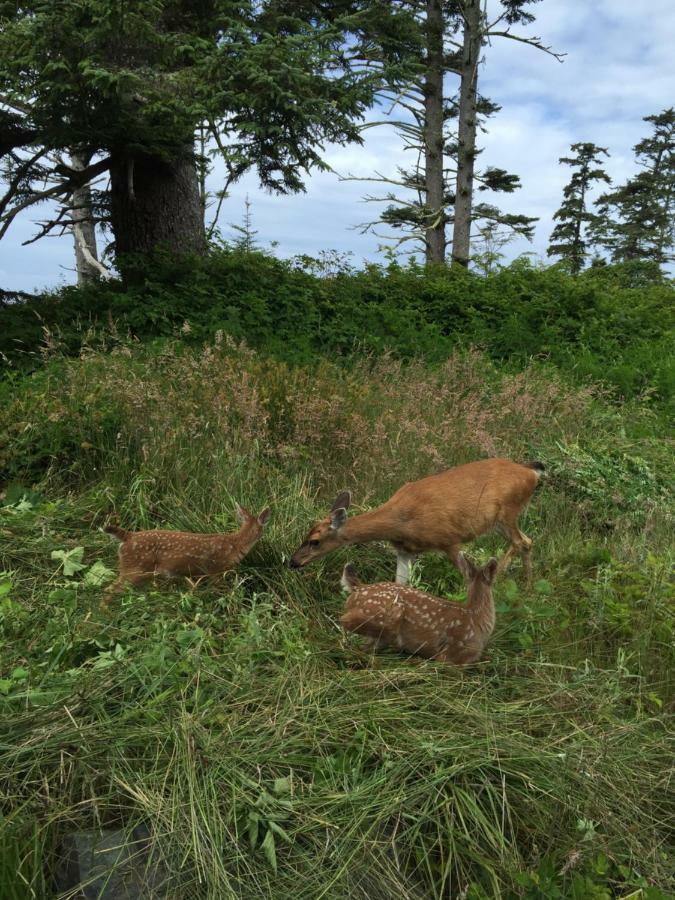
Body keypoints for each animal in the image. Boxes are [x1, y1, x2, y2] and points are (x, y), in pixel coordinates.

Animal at [290, 458, 544, 584]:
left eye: (315, 541)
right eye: (306, 533)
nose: (293, 562)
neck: (400, 522)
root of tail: (531, 472)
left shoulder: (448, 540)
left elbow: (466, 576)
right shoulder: (406, 550)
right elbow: (400, 585)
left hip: (508, 511)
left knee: (520, 542)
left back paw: (499, 577)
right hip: (499, 521)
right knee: (528, 540)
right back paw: (527, 587)